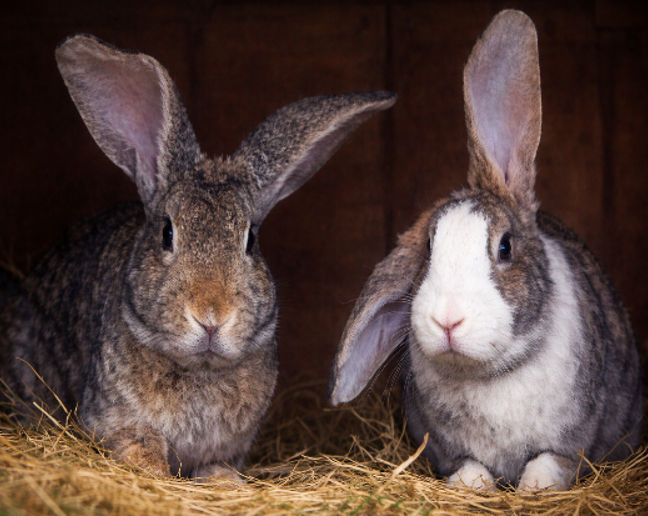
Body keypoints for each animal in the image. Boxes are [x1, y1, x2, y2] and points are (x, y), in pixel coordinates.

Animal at [0, 34, 396, 481]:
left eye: (250, 239)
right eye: (167, 233)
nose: (211, 316)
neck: (201, 370)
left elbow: (217, 469)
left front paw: (227, 485)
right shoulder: (116, 423)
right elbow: (143, 449)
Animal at [327, 9, 643, 492]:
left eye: (505, 247)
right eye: (429, 248)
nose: (447, 320)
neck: (488, 373)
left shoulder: (572, 446)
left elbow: (548, 465)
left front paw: (531, 489)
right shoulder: (446, 451)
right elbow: (469, 470)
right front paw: (476, 487)